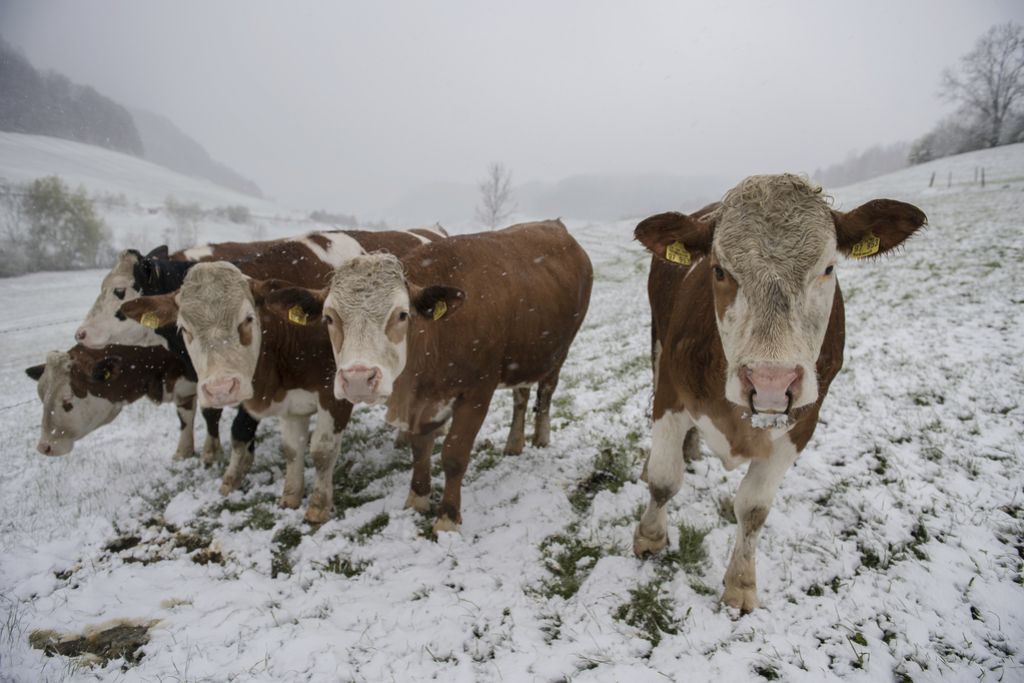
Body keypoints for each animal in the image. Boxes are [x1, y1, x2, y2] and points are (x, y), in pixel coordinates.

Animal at [25, 344, 195, 456]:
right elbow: (186, 418)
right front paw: (184, 453)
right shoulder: (184, 392)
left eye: (67, 401)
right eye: (41, 397)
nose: (44, 447)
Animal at [117, 229, 446, 524]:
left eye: (247, 319)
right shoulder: (291, 401)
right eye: (184, 329)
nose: (221, 388)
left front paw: (318, 507)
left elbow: (322, 450)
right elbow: (291, 449)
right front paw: (290, 496)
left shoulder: (336, 393)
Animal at [264, 219, 598, 532]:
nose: (358, 378)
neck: (434, 341)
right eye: (329, 318)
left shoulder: (477, 393)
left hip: (558, 352)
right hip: (523, 357)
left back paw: (541, 437)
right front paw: (418, 498)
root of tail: (554, 225)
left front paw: (447, 518)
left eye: (402, 314)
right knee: (521, 394)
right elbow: (420, 448)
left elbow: (454, 454)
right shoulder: (421, 400)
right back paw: (514, 443)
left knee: (546, 392)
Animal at [630, 174, 929, 610]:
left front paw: (741, 584)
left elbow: (753, 509)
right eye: (719, 271)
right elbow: (664, 479)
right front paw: (650, 537)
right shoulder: (670, 391)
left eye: (828, 267)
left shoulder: (802, 423)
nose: (770, 381)